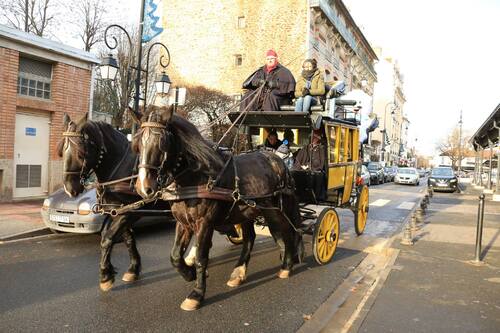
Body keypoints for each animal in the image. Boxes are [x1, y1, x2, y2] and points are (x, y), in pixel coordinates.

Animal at [133, 105, 302, 312]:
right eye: (137, 144)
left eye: (162, 144)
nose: (144, 188)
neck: (196, 176)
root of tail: (277, 161)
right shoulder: (183, 223)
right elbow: (175, 256)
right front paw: (189, 273)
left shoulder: (204, 223)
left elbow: (201, 257)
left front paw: (196, 294)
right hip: (247, 212)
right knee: (252, 238)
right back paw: (239, 272)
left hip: (275, 209)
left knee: (284, 231)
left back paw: (287, 264)